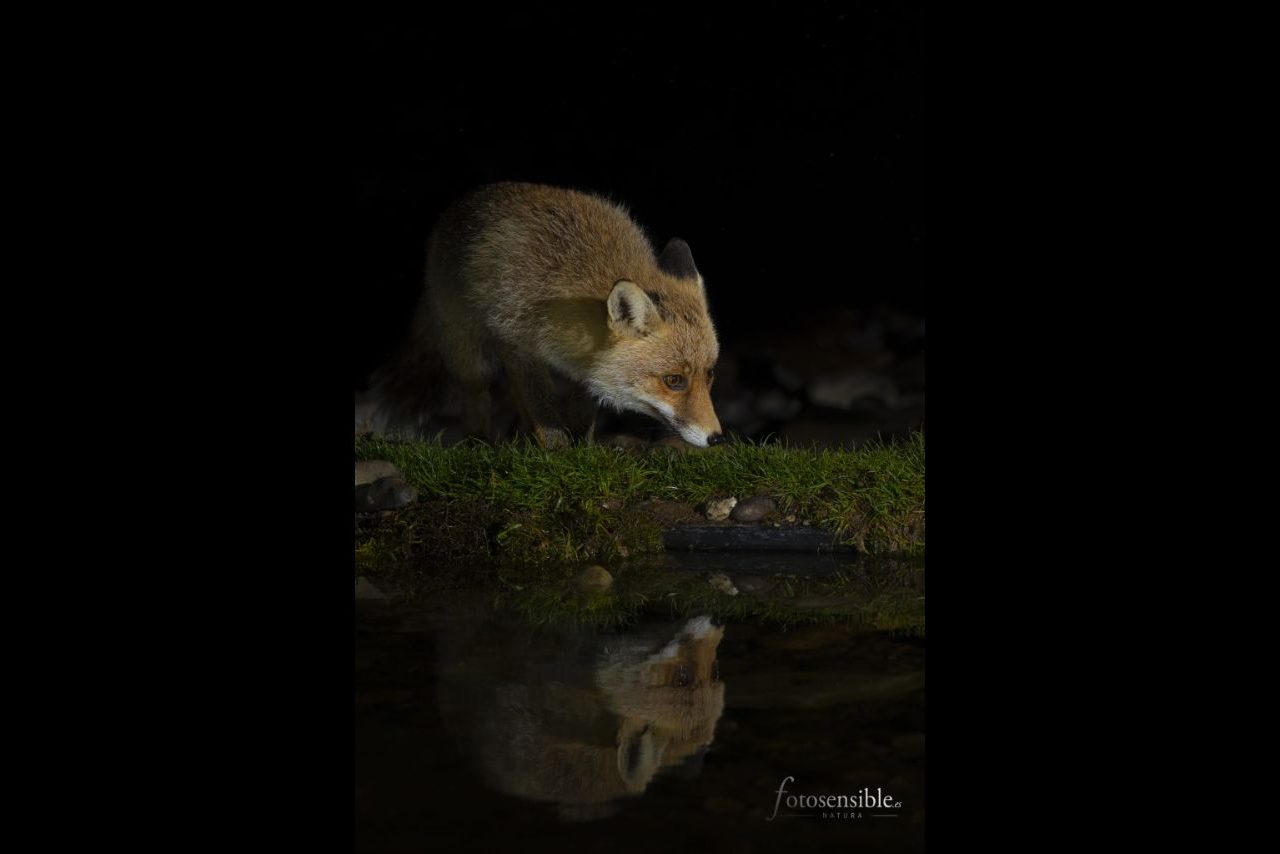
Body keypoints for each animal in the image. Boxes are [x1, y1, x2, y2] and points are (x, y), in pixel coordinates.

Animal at [365, 182, 726, 448]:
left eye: (709, 374)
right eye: (674, 380)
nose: (717, 438)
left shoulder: (584, 363)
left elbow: (582, 407)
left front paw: (583, 445)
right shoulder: (516, 341)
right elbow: (541, 406)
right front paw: (557, 453)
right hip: (468, 356)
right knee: (477, 396)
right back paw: (482, 442)